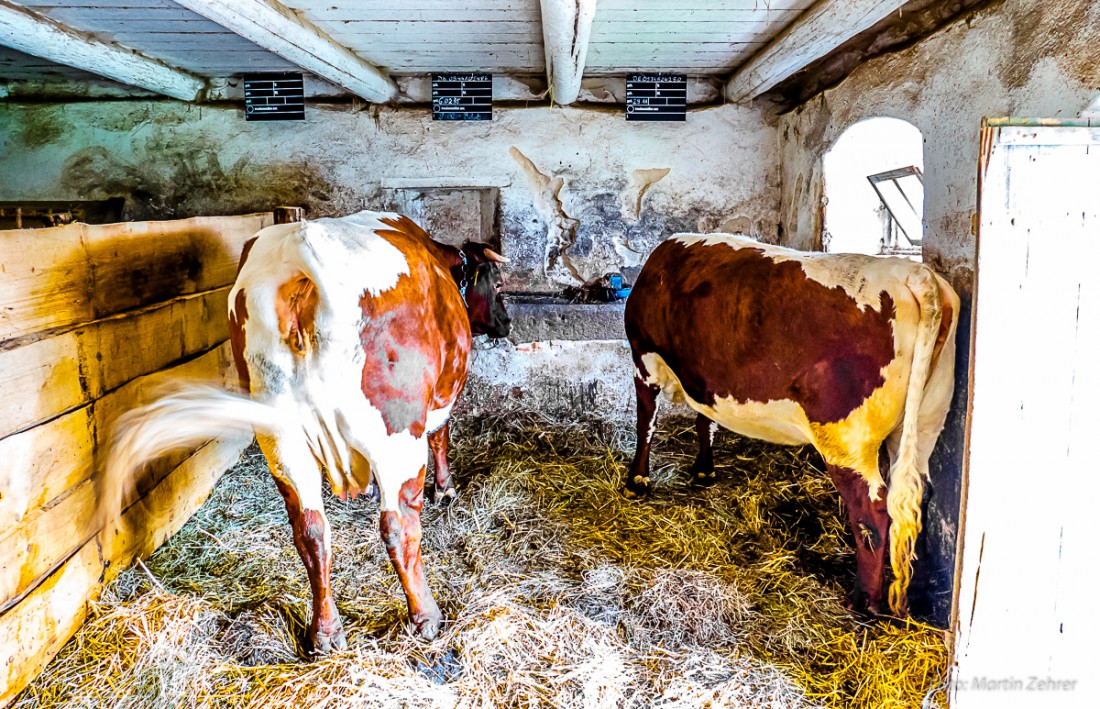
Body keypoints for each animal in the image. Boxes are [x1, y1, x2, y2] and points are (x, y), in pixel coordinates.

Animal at [105, 209, 512, 650]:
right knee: (398, 524)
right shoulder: (441, 396)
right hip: (397, 433)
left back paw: (325, 632)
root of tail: (302, 251)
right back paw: (425, 616)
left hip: (281, 438)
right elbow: (441, 436)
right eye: (498, 284)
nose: (506, 324)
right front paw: (446, 490)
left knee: (311, 529)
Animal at [624, 234, 959, 615]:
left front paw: (636, 481)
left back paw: (864, 602)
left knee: (872, 512)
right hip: (925, 422)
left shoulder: (644, 359)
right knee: (917, 497)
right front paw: (704, 471)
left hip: (847, 438)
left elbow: (646, 423)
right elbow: (704, 422)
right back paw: (910, 589)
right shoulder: (706, 379)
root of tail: (913, 273)